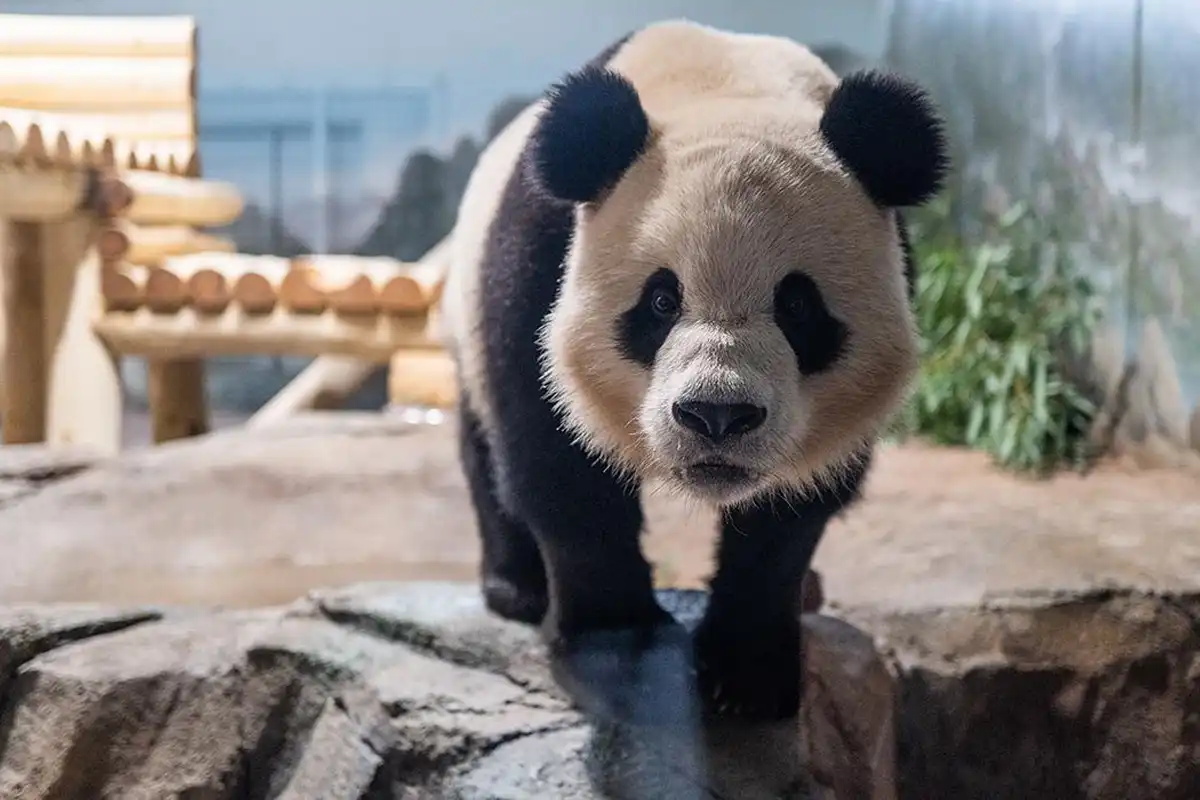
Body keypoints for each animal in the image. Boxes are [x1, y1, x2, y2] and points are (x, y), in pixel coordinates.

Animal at [441, 18, 945, 724]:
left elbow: (792, 514)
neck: (724, 86)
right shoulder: (540, 252)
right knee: (484, 447)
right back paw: (517, 587)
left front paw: (748, 673)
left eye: (797, 306)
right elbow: (553, 451)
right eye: (661, 300)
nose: (717, 415)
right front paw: (610, 632)